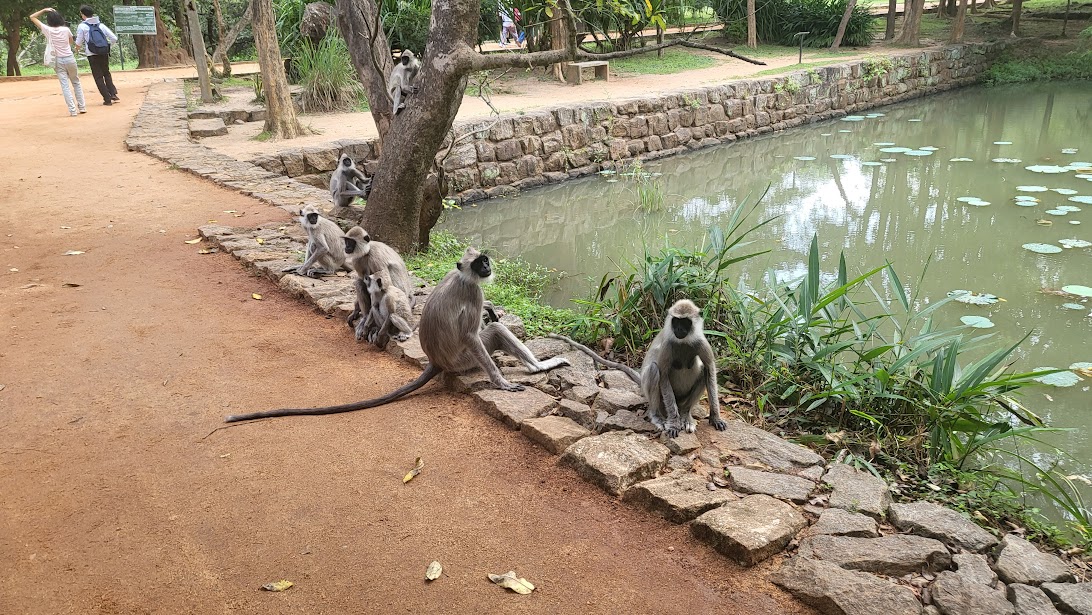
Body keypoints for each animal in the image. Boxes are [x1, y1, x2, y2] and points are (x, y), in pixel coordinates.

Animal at [224, 248, 570, 423]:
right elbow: (473, 334)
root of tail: (437, 361)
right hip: (464, 361)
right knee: (492, 334)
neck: (461, 276)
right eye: (479, 263)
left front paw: (493, 309)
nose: (487, 265)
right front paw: (503, 383)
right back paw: (539, 366)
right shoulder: (472, 292)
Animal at [549, 299, 727, 438]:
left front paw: (715, 418)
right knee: (655, 370)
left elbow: (710, 370)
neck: (683, 342)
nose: (679, 329)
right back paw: (658, 416)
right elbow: (663, 375)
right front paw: (673, 423)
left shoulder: (701, 342)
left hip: (682, 398)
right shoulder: (668, 345)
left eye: (685, 322)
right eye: (676, 321)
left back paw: (685, 414)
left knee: (704, 371)